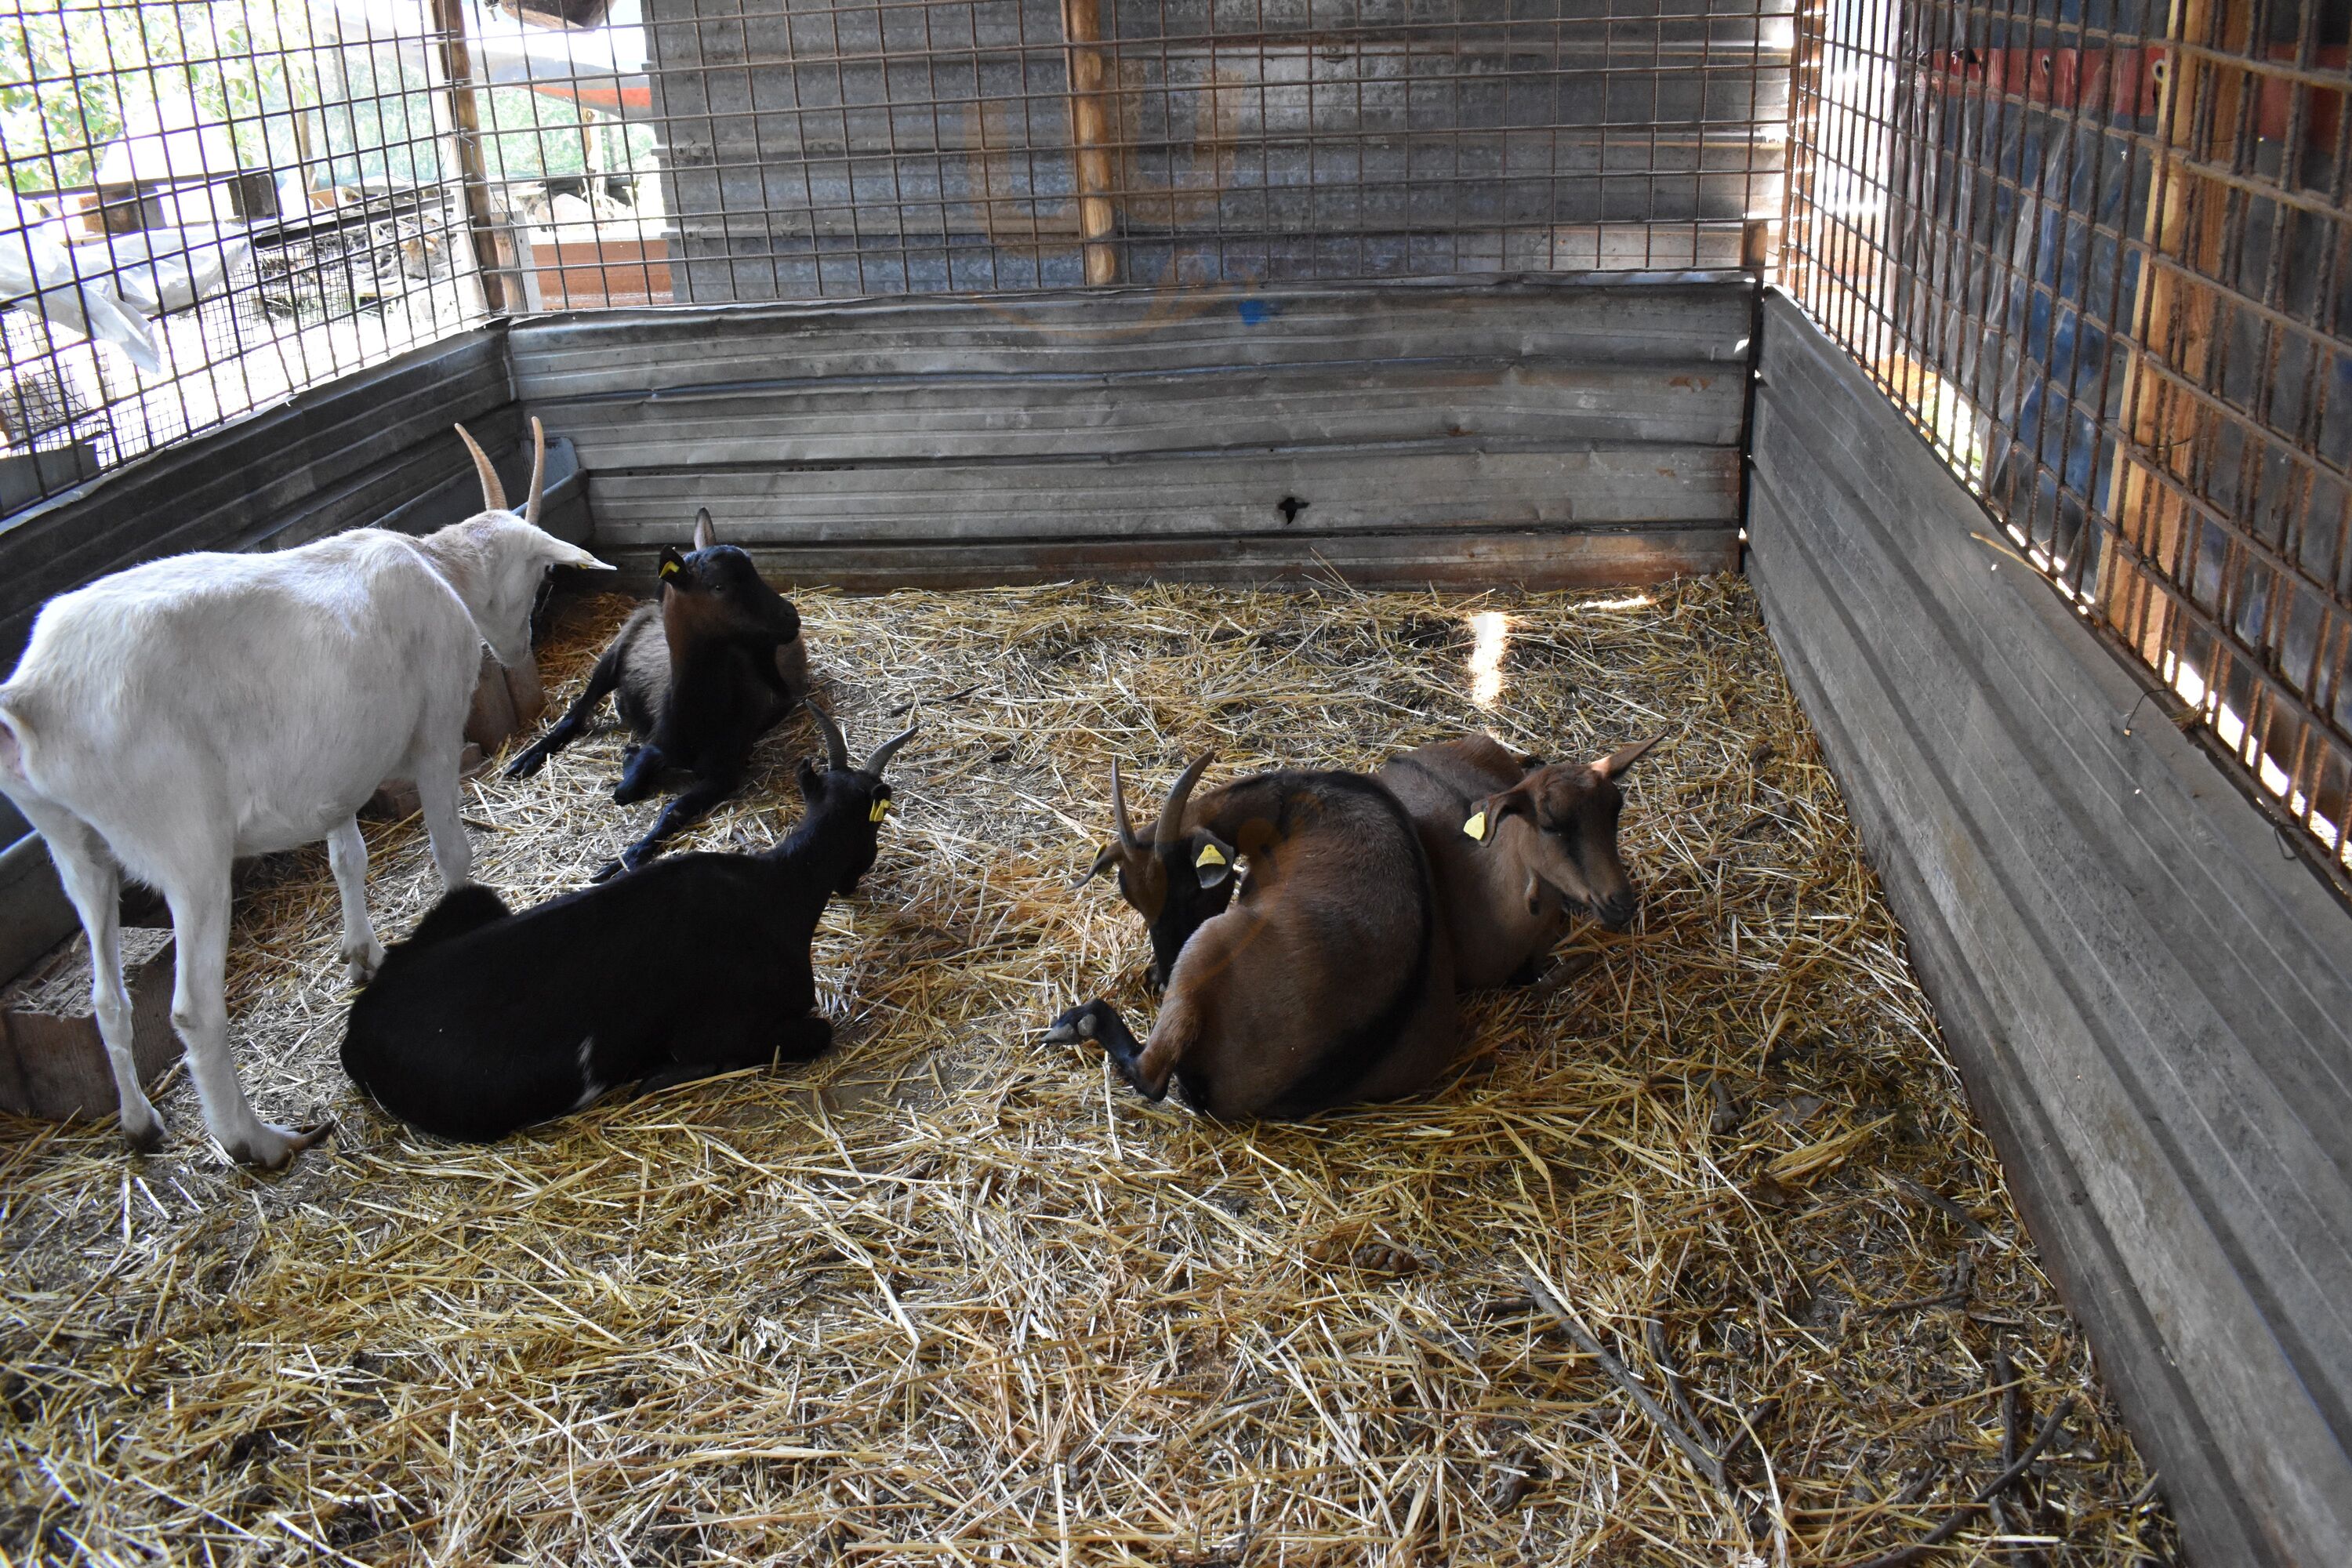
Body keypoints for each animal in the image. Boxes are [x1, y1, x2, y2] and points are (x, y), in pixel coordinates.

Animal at [0, 416, 616, 1166]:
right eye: (541, 574)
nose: (519, 650)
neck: (438, 568)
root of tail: (33, 696)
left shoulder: (335, 774)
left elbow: (347, 858)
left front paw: (360, 957)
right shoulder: (437, 734)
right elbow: (451, 852)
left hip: (71, 842)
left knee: (106, 997)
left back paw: (140, 1124)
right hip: (186, 847)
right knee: (192, 1008)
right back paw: (257, 1141)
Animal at [343, 710, 913, 1142]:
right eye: (877, 822)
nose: (856, 879)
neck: (777, 887)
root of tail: (358, 1029)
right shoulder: (726, 1027)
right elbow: (811, 1033)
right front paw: (658, 1076)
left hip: (473, 901)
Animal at [506, 505, 809, 879]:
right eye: (719, 586)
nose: (790, 617)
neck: (698, 712)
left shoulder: (726, 769)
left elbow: (672, 809)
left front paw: (625, 861)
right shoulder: (662, 739)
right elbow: (626, 788)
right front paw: (632, 760)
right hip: (612, 655)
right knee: (577, 711)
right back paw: (525, 760)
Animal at [1049, 757, 1449, 1114]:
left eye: (1190, 891)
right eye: (1134, 901)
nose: (1164, 975)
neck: (1291, 803)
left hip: (1208, 942)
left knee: (1151, 1076)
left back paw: (1077, 1023)